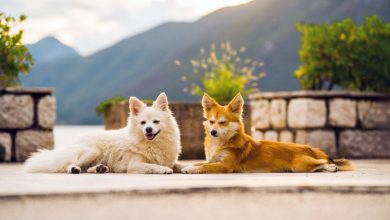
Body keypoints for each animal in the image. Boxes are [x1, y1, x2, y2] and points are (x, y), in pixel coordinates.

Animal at [23, 92, 182, 174]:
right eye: (143, 123)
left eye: (155, 122)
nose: (148, 130)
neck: (153, 144)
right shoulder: (134, 165)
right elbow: (152, 166)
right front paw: (163, 169)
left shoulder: (172, 160)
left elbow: (178, 165)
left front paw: (185, 168)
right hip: (93, 151)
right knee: (68, 164)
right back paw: (75, 169)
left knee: (87, 169)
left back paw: (100, 168)